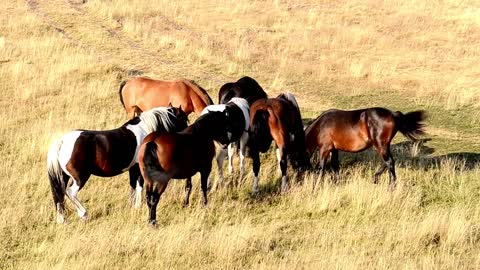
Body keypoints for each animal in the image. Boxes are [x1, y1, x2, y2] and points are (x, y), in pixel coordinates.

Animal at [45, 106, 188, 224]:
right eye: (184, 119)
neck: (144, 130)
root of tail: (62, 141)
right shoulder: (138, 168)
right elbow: (139, 186)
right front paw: (138, 207)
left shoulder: (132, 169)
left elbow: (133, 187)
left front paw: (132, 206)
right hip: (80, 177)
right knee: (70, 192)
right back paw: (84, 214)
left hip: (63, 177)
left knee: (60, 194)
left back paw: (62, 220)